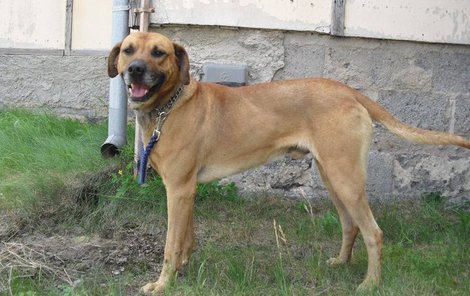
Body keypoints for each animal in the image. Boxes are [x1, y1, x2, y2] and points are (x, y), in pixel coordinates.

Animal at [107, 31, 470, 292]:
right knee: (350, 224)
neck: (169, 106)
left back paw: (370, 284)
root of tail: (349, 91)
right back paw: (341, 263)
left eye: (158, 52)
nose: (135, 70)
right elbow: (185, 239)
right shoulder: (188, 191)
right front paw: (183, 270)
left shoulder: (178, 190)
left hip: (346, 180)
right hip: (333, 177)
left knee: (374, 232)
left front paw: (162, 284)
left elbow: (170, 244)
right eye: (128, 50)